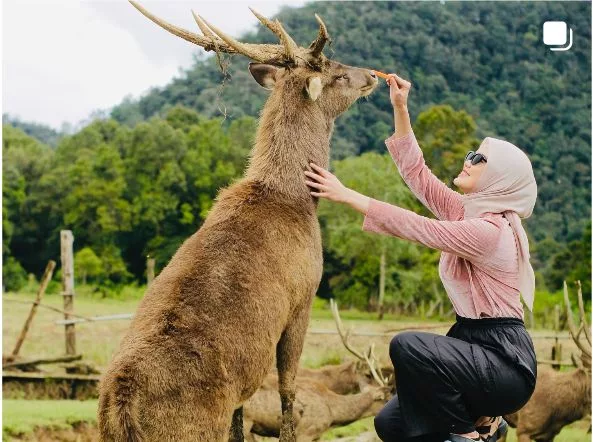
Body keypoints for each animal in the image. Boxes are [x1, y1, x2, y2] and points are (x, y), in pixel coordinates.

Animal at [95, 3, 376, 442]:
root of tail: (121, 408)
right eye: (338, 73)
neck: (297, 200)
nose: (374, 75)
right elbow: (288, 391)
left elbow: (241, 420)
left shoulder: (244, 384)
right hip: (191, 430)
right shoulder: (305, 295)